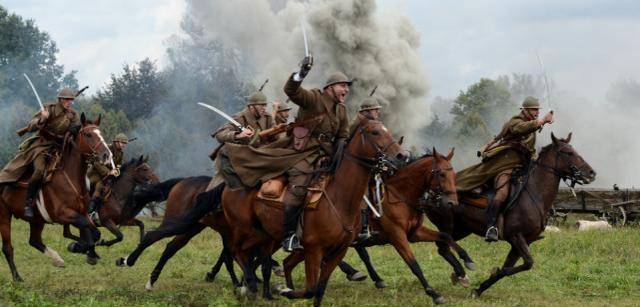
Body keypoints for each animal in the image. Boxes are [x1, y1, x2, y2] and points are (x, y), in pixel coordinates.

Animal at [0, 113, 112, 282]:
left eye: (101, 133)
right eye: (88, 134)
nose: (107, 156)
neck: (70, 178)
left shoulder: (82, 213)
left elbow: (93, 232)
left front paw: (87, 251)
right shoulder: (64, 215)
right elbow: (88, 230)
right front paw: (78, 247)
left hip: (37, 220)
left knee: (34, 241)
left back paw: (57, 259)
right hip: (4, 216)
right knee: (8, 248)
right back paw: (17, 278)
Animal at [221, 119, 404, 306]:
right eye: (375, 132)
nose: (402, 156)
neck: (338, 198)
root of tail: (229, 184)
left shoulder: (338, 252)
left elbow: (319, 290)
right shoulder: (314, 250)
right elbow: (310, 289)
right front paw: (282, 289)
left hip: (264, 235)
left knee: (256, 257)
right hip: (242, 228)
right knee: (236, 250)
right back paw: (249, 285)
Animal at [284, 149, 476, 298]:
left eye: (453, 174)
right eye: (441, 174)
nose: (452, 203)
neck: (400, 195)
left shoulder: (414, 233)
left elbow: (444, 236)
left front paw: (464, 266)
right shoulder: (397, 236)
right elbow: (413, 264)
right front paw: (433, 293)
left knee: (293, 261)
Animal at [424, 134, 596, 300]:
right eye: (568, 152)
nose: (591, 173)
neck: (534, 193)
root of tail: (430, 193)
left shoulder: (523, 242)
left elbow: (510, 267)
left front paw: (480, 288)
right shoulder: (516, 237)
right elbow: (527, 263)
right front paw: (492, 273)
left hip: (462, 229)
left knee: (442, 247)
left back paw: (459, 275)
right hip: (447, 225)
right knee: (443, 246)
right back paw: (461, 274)